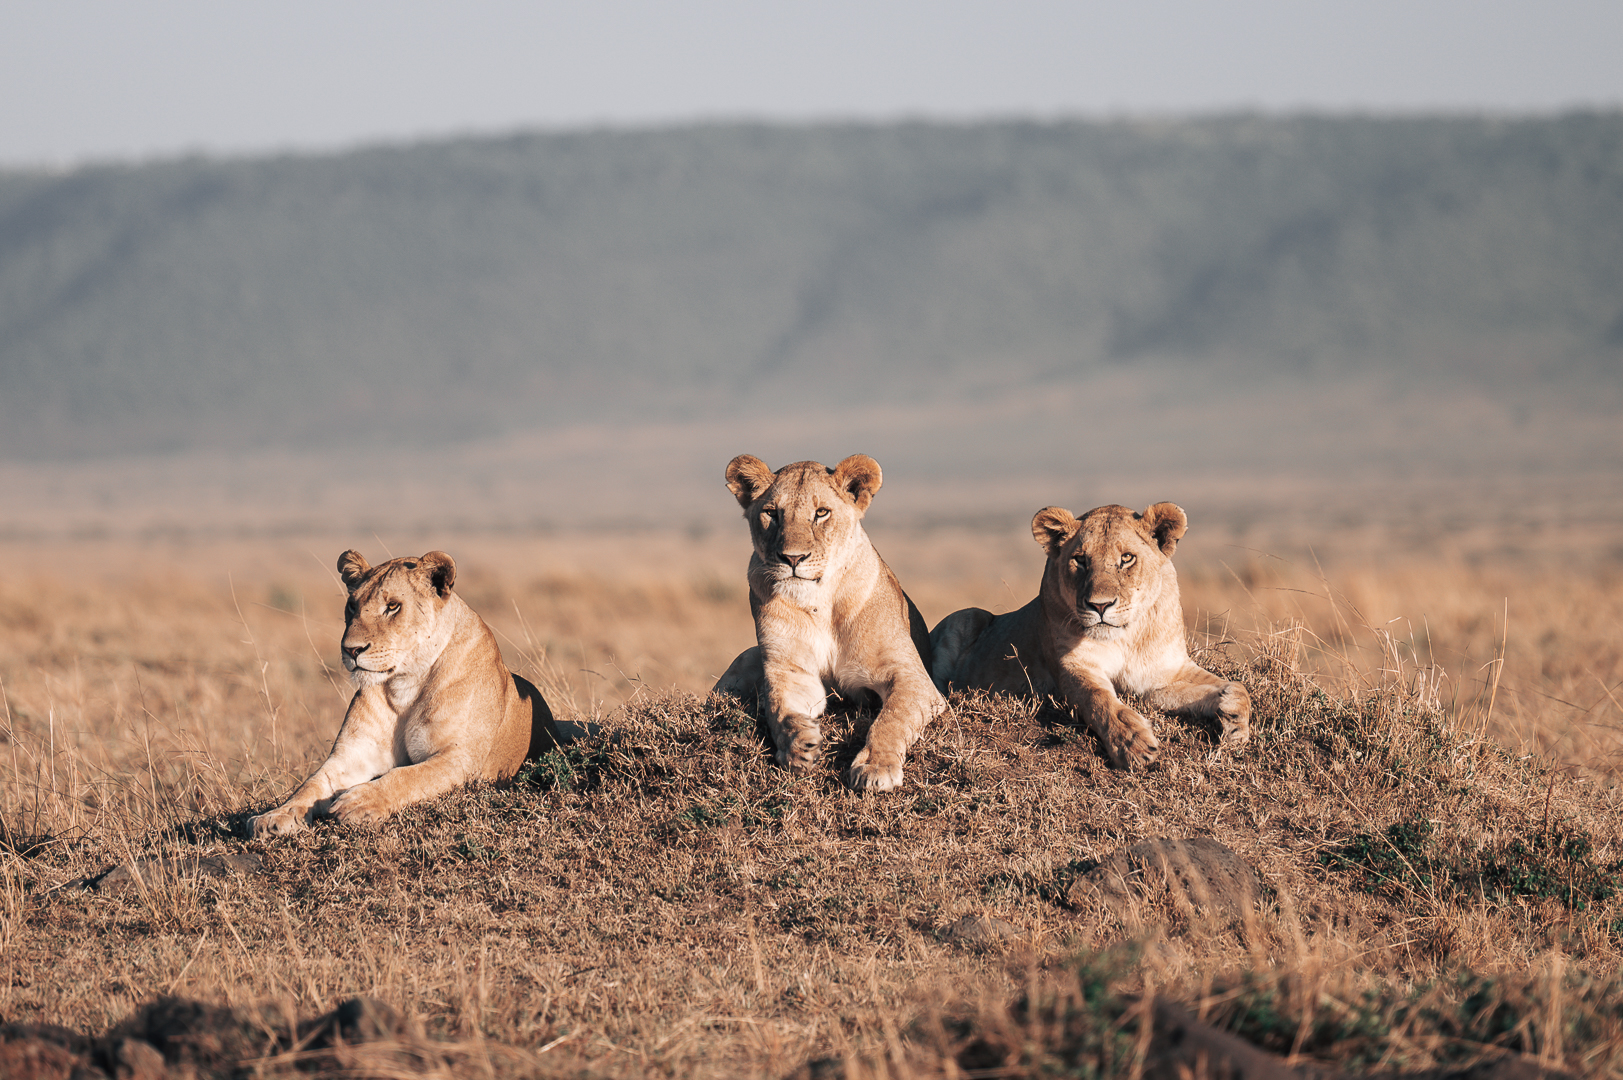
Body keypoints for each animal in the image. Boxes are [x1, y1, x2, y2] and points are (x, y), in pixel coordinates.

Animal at [249, 550, 561, 836]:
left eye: (392, 606)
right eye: (351, 605)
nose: (351, 650)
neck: (406, 685)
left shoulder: (461, 758)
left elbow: (408, 775)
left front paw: (358, 801)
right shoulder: (352, 755)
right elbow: (311, 783)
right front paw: (274, 816)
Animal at [712, 454, 944, 791]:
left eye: (821, 513)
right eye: (772, 513)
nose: (792, 559)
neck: (819, 603)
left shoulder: (913, 678)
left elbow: (891, 719)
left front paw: (875, 767)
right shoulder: (790, 672)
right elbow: (780, 709)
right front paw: (798, 745)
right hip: (746, 658)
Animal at [929, 503, 1250, 768]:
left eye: (1127, 558)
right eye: (1080, 560)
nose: (1100, 605)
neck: (1126, 636)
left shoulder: (1162, 677)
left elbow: (1236, 688)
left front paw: (1235, 722)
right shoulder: (1074, 667)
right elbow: (1100, 700)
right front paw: (1133, 743)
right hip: (966, 616)